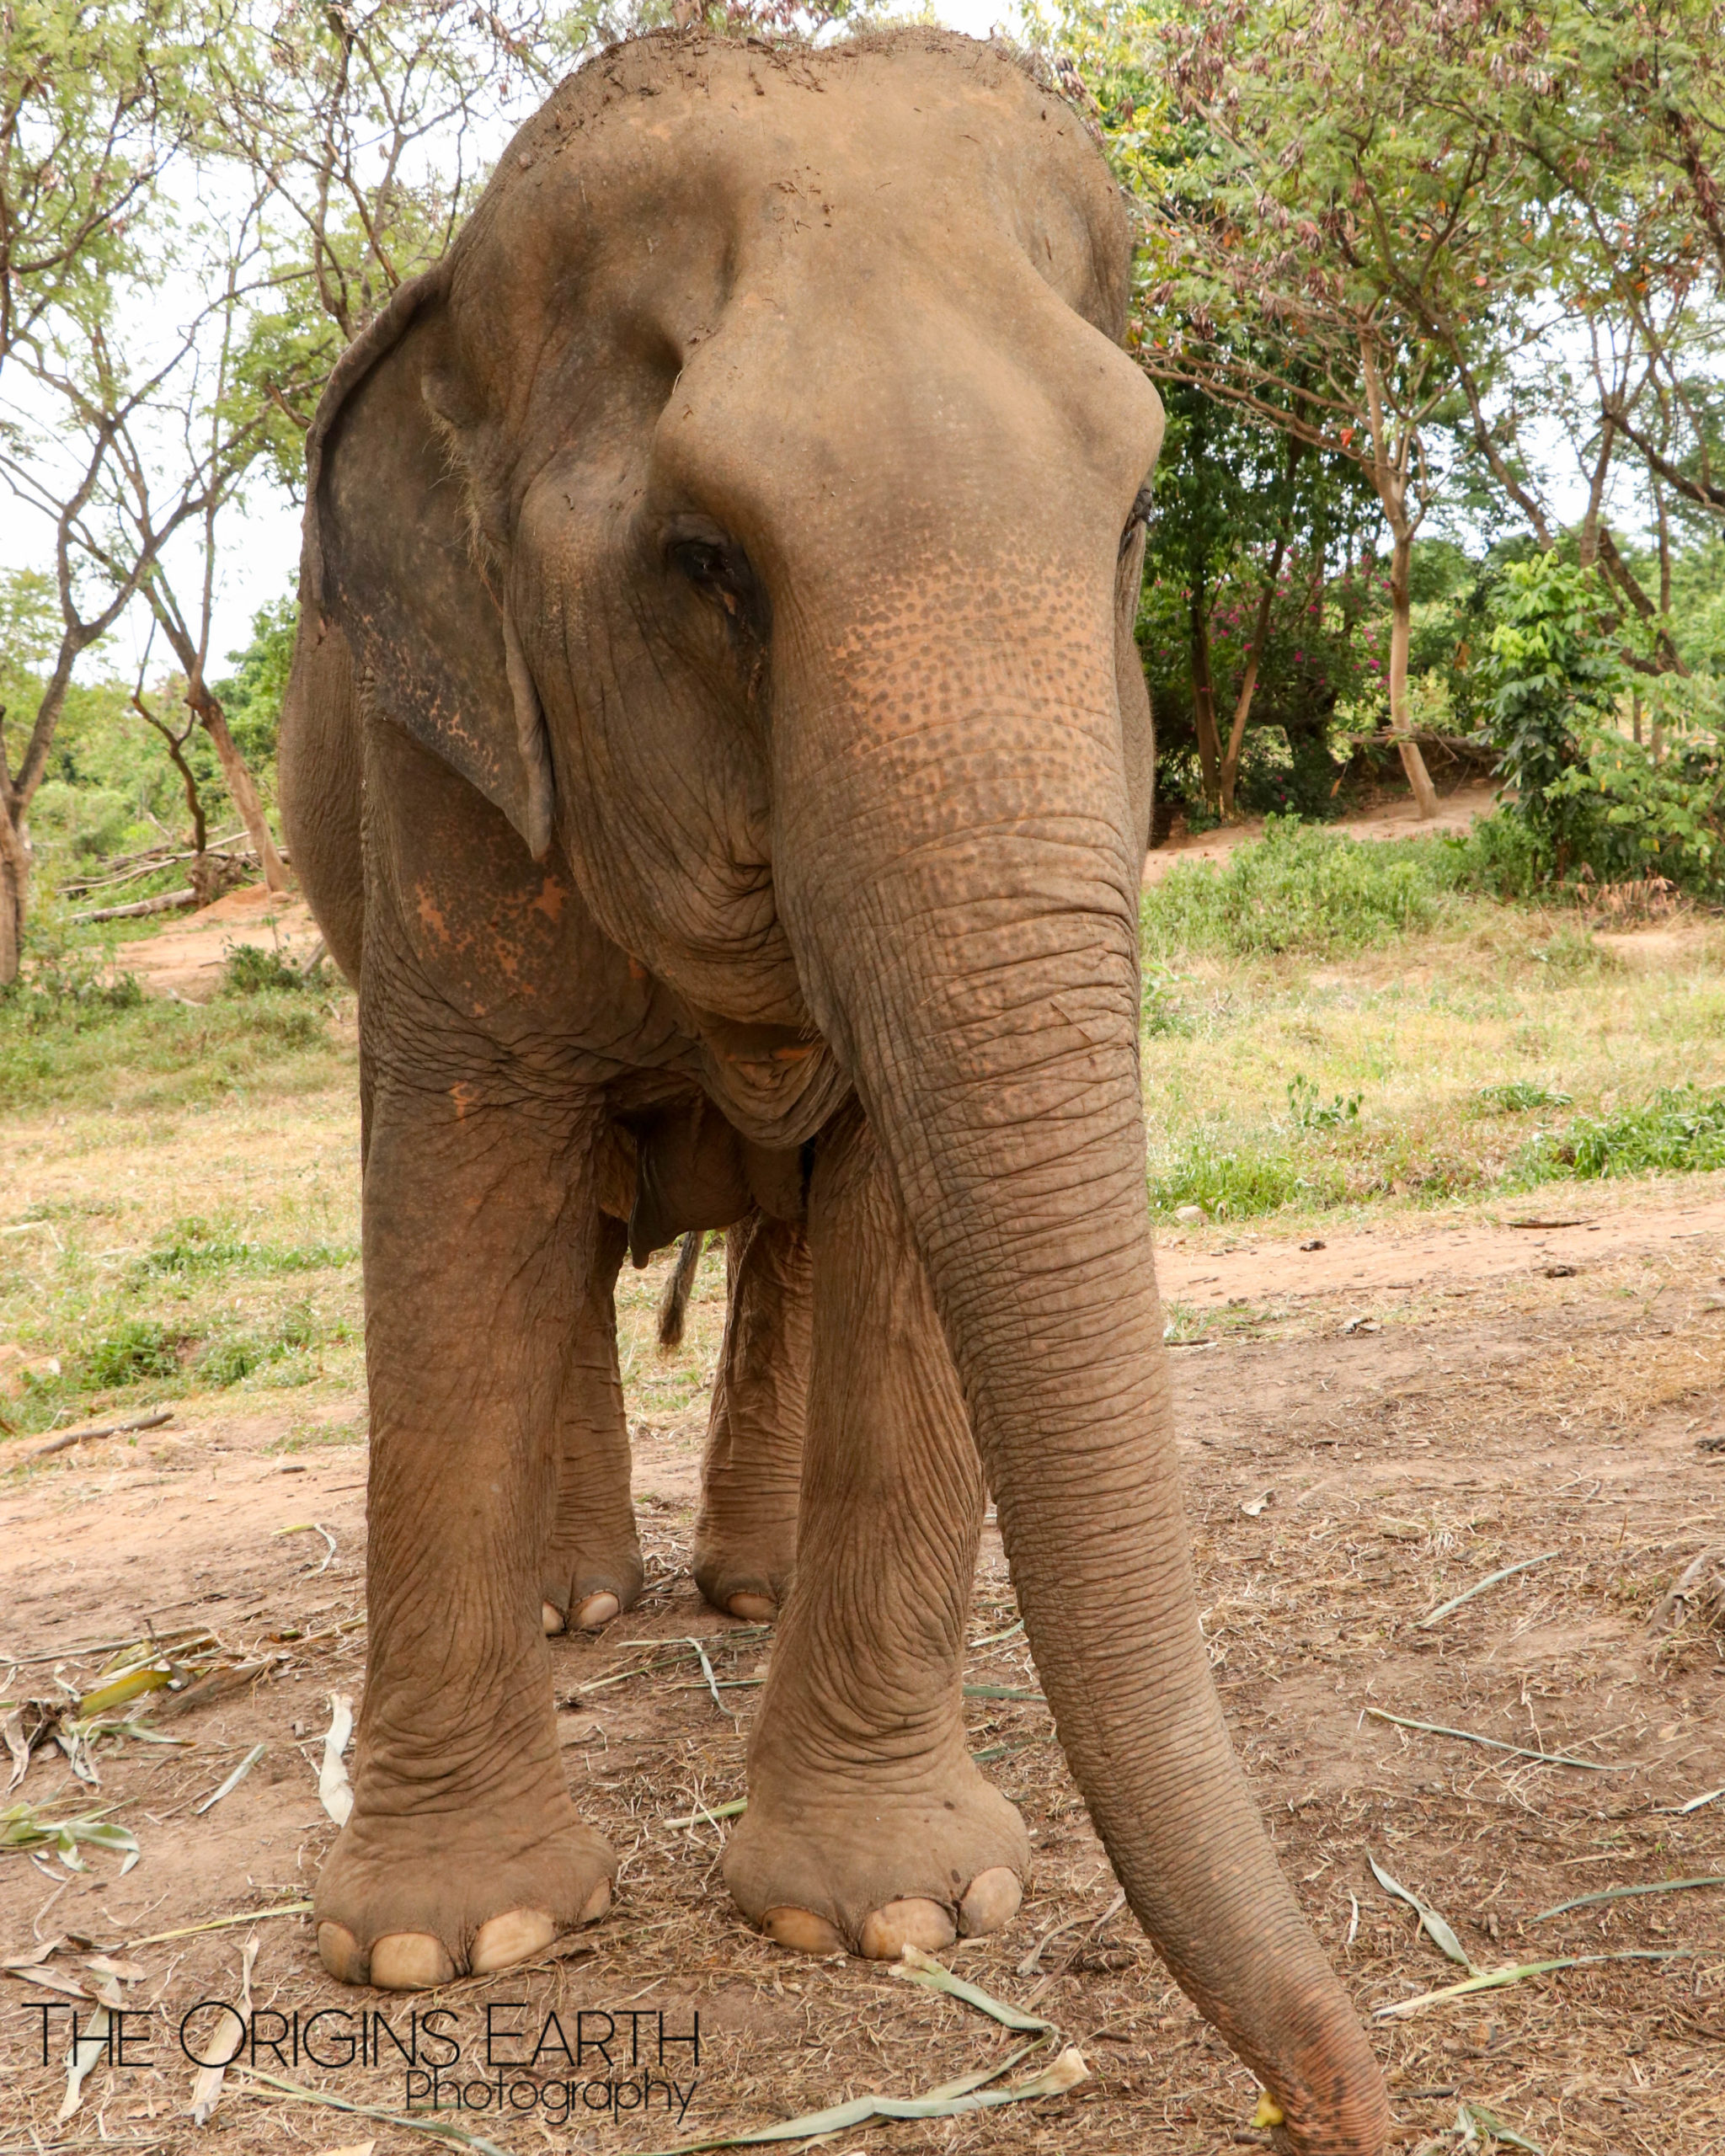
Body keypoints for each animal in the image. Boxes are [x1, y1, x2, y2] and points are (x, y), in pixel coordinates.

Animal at [280, 25, 1388, 2147]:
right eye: (705, 562)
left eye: (1136, 518)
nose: (1338, 2102)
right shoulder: (438, 761)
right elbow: (456, 1193)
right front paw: (447, 1946)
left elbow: (900, 1219)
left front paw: (894, 1910)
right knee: (563, 1247)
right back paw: (582, 1606)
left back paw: (747, 1583)